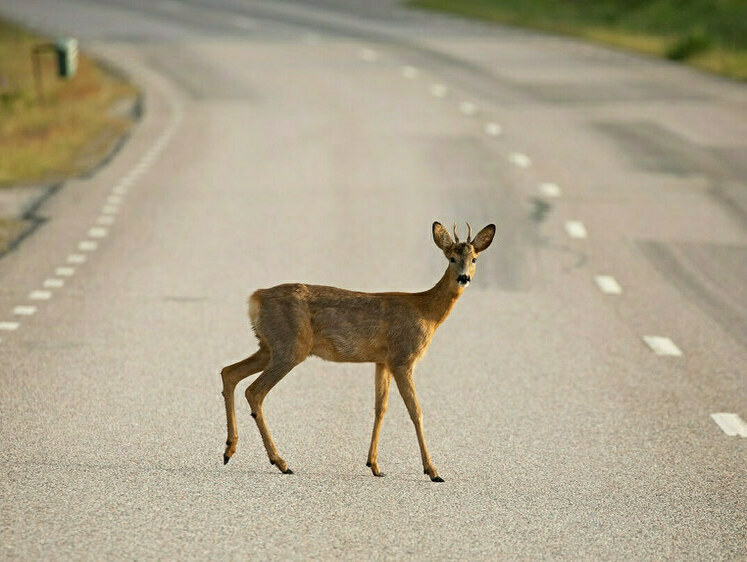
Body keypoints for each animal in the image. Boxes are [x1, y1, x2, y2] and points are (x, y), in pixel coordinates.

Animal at [219, 221, 494, 480]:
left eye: (474, 259)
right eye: (451, 258)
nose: (463, 278)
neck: (426, 311)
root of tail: (255, 299)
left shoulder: (382, 361)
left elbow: (380, 408)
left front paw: (375, 466)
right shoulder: (403, 358)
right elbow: (416, 410)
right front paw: (433, 471)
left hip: (268, 346)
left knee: (229, 372)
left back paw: (229, 450)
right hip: (289, 347)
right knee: (254, 390)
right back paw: (281, 462)